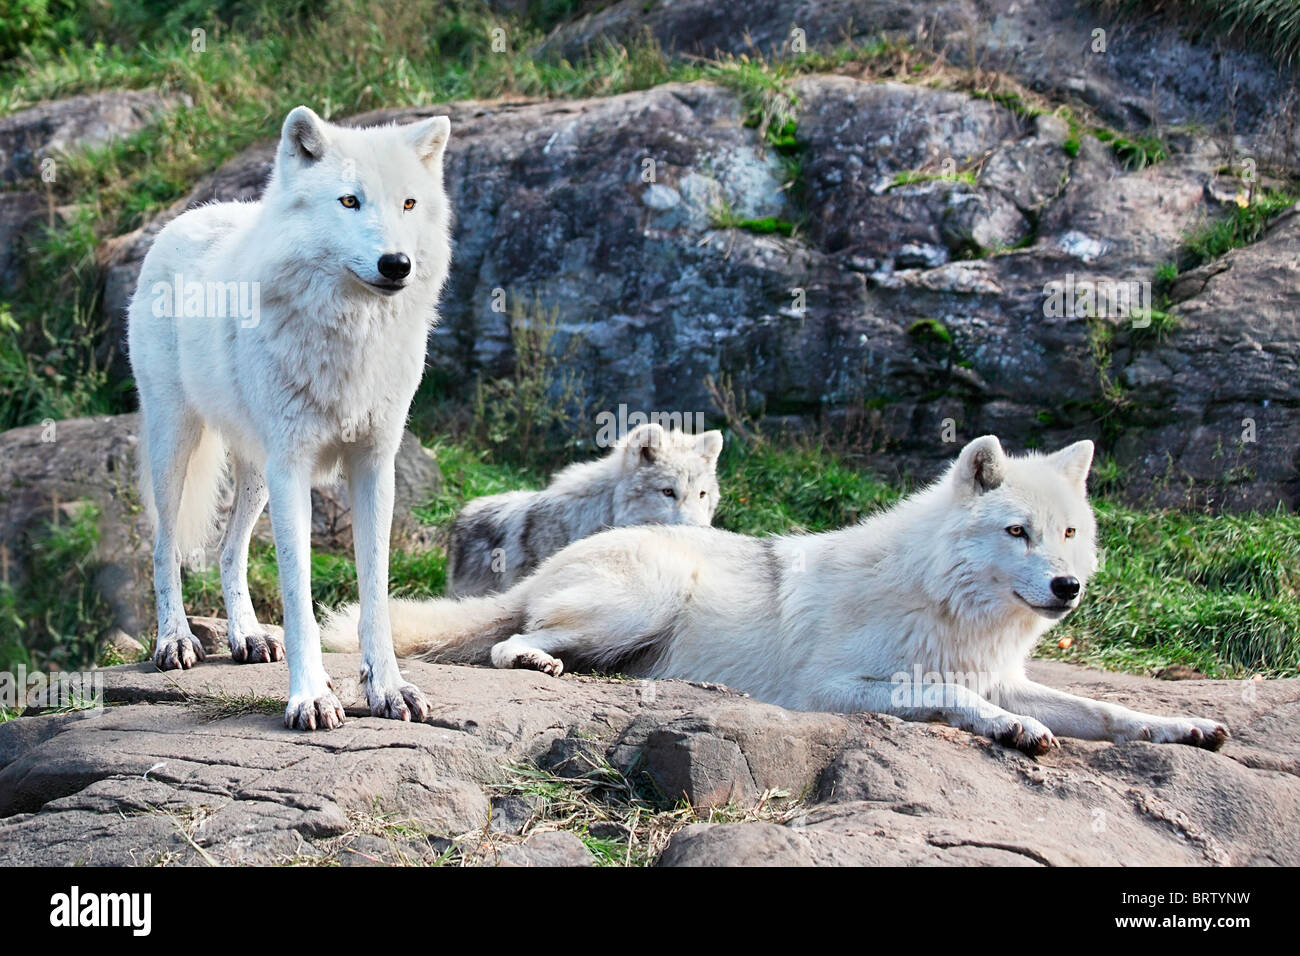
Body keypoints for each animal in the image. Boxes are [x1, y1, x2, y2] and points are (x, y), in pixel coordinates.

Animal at [126, 104, 452, 728]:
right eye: (349, 201)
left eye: (408, 204)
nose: (396, 264)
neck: (349, 337)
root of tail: (188, 217)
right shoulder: (294, 468)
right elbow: (299, 598)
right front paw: (311, 698)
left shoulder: (373, 465)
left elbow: (376, 593)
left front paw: (389, 689)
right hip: (177, 444)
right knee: (163, 548)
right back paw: (174, 640)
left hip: (257, 472)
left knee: (229, 551)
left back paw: (248, 637)